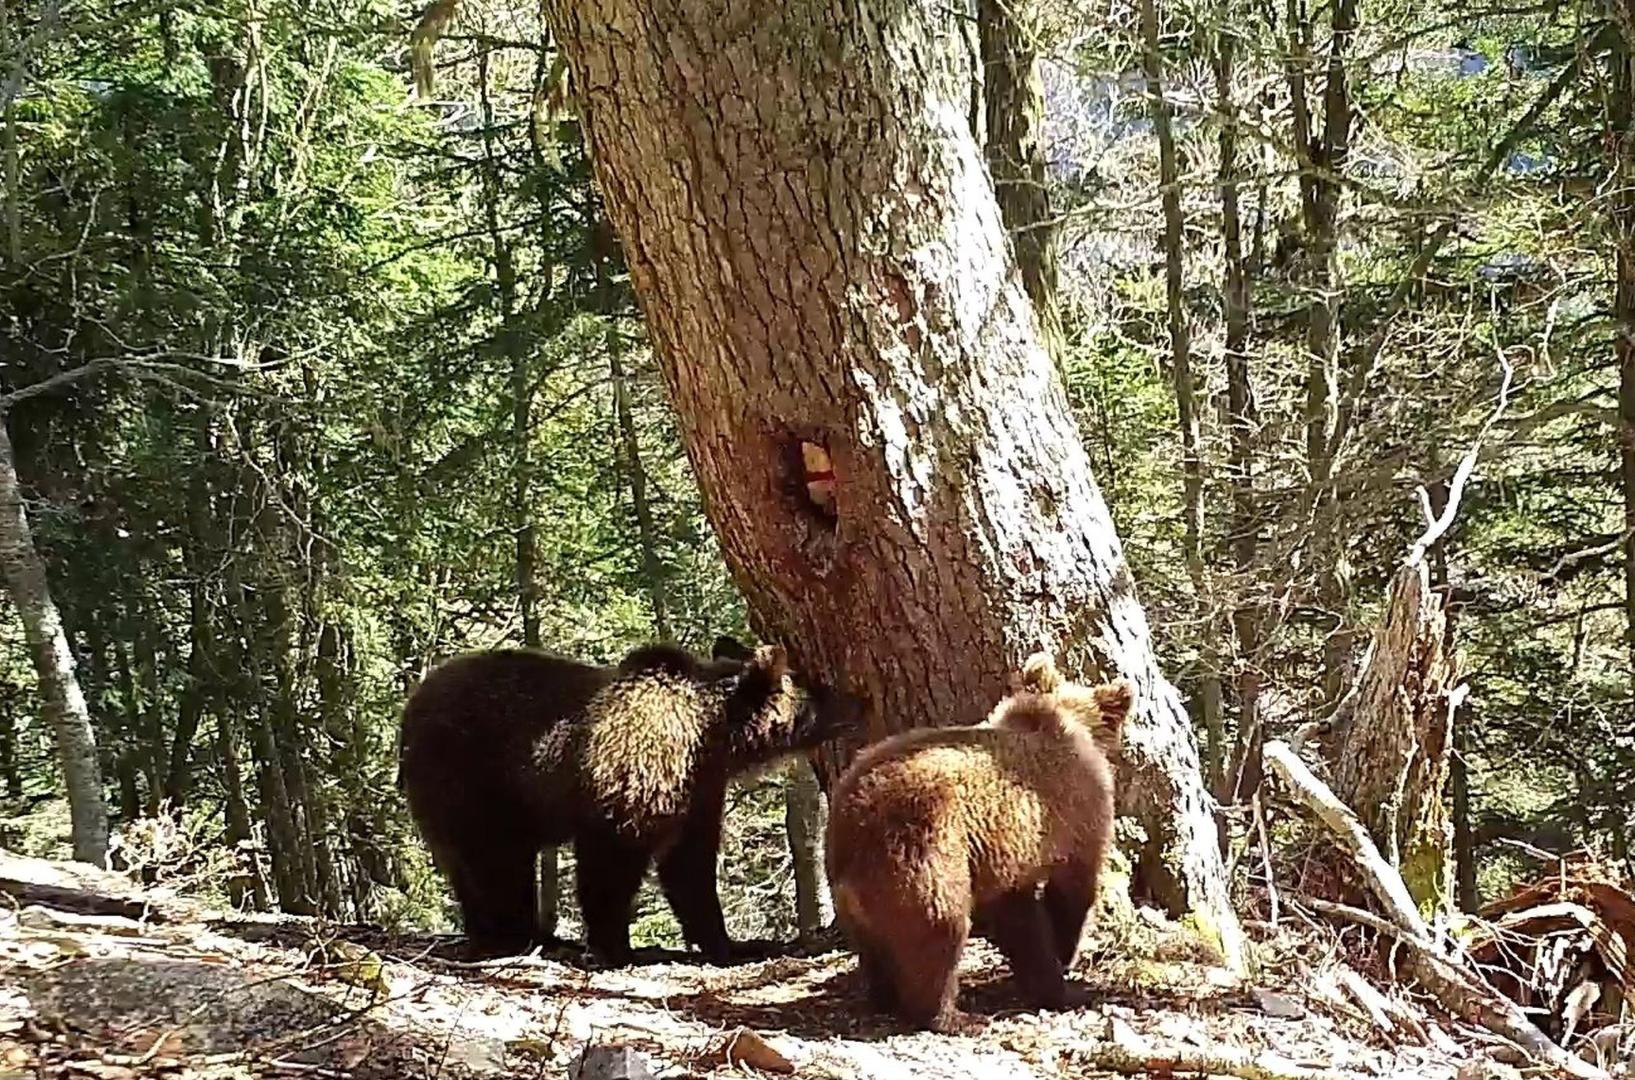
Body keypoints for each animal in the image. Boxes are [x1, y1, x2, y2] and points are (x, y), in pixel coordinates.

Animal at [397, 635, 863, 964]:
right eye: (813, 689)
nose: (853, 700)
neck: (713, 735)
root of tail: (411, 708)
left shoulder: (696, 792)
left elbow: (689, 869)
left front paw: (729, 943)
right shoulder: (633, 778)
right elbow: (611, 865)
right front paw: (614, 946)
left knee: (470, 864)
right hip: (474, 780)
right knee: (495, 861)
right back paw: (518, 933)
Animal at [823, 653, 1132, 1034]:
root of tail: (852, 814)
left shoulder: (1009, 854)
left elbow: (1020, 919)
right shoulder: (1077, 817)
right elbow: (1073, 892)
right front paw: (1065, 964)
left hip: (856, 885)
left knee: (875, 946)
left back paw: (883, 996)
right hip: (923, 848)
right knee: (939, 927)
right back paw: (954, 1016)